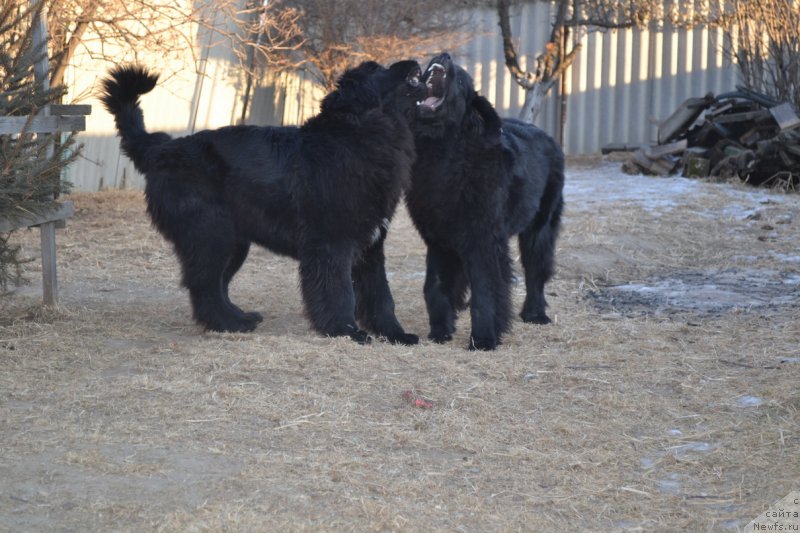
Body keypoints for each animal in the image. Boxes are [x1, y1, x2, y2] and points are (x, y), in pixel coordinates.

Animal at [101, 60, 424, 342]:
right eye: (377, 68)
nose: (413, 62)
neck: (359, 135)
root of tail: (161, 149)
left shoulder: (371, 247)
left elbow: (380, 295)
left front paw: (395, 334)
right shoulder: (332, 245)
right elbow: (340, 292)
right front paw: (345, 331)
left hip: (232, 242)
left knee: (217, 283)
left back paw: (238, 318)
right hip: (210, 235)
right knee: (204, 285)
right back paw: (228, 323)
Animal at [406, 53, 568, 350]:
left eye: (460, 79)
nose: (444, 55)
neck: (445, 153)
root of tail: (546, 135)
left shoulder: (483, 240)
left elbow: (486, 290)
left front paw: (482, 339)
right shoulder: (438, 240)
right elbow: (434, 286)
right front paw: (440, 331)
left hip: (539, 229)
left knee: (536, 273)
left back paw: (535, 314)